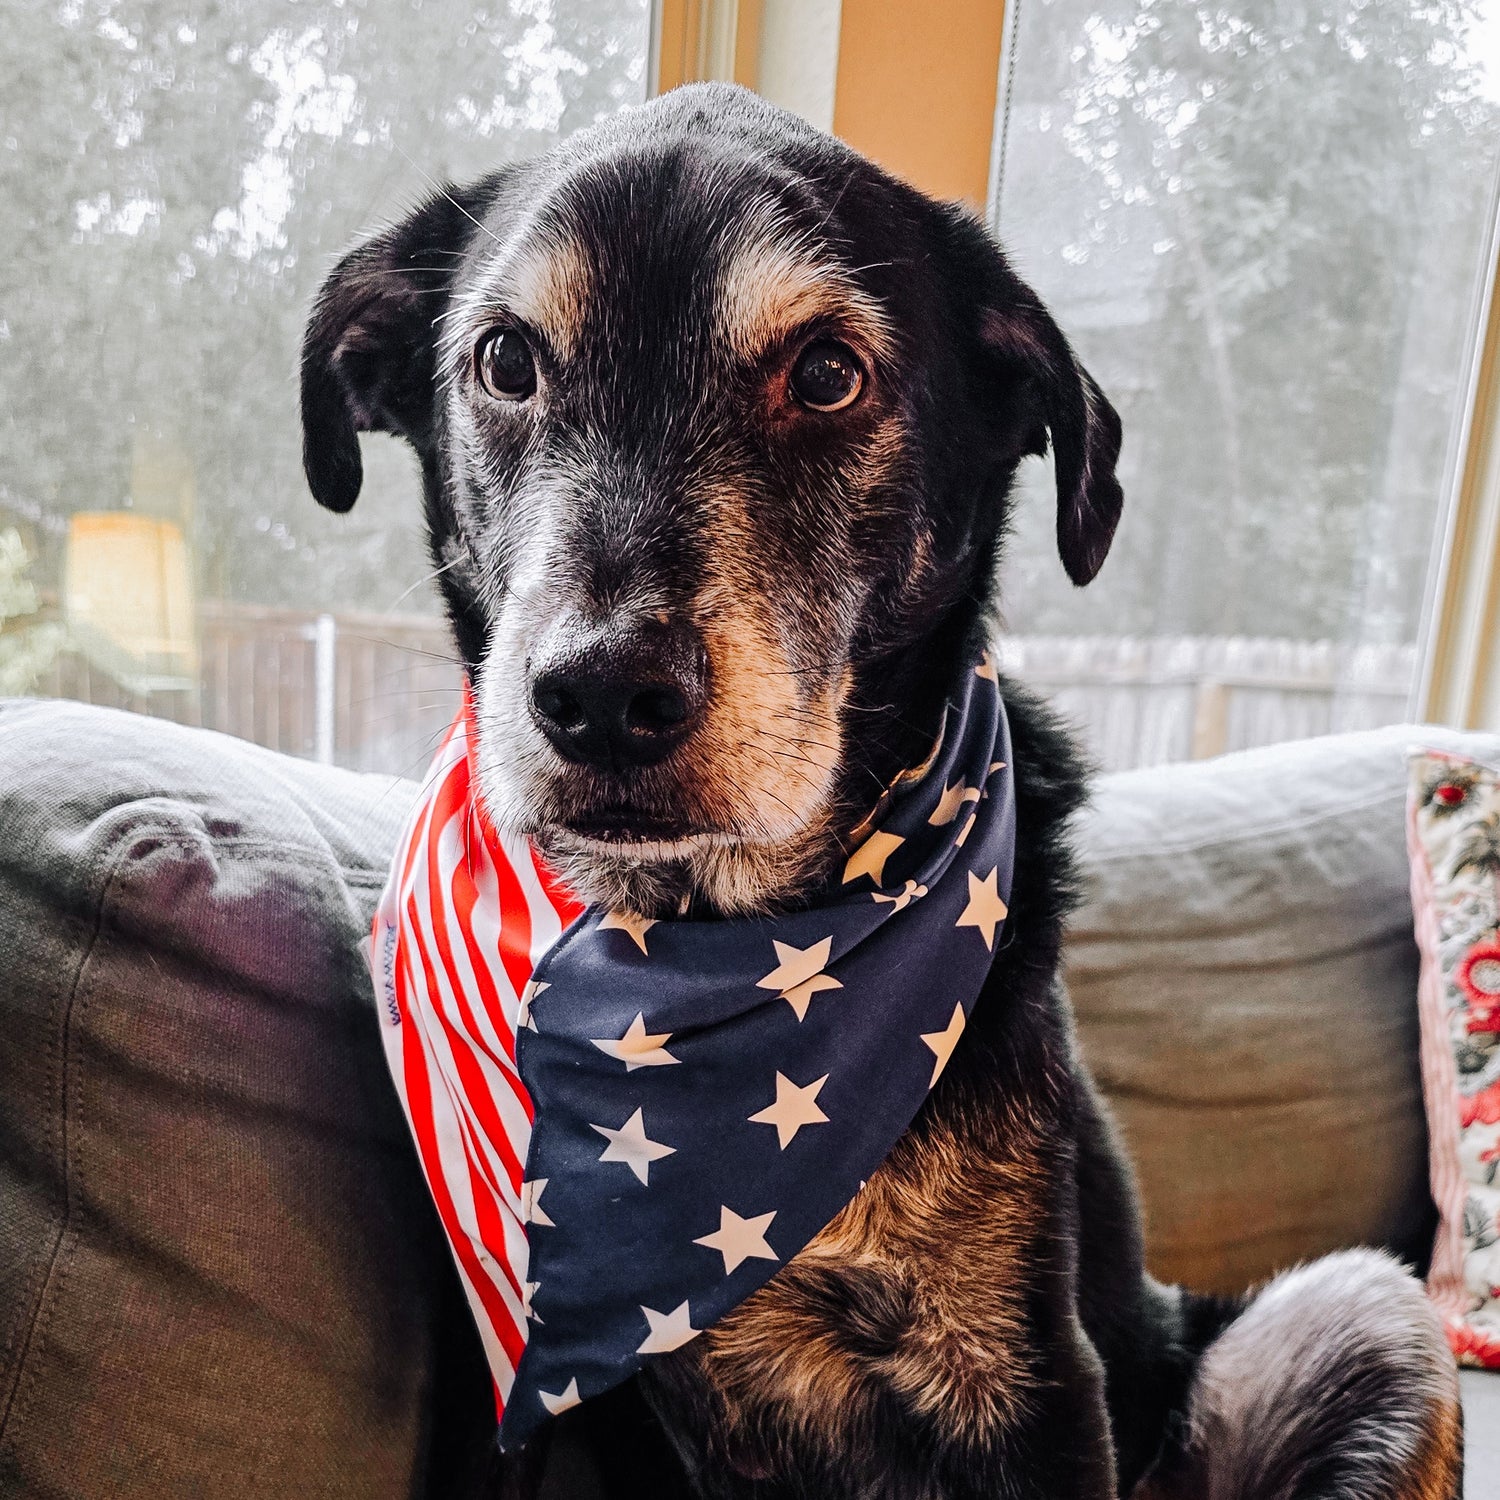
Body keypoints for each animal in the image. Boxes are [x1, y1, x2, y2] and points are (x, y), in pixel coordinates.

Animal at [298, 85, 1458, 1500]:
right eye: (505, 361)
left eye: (827, 374)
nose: (599, 696)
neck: (706, 951)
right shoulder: (512, 1380)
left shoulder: (1037, 1390)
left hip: (1365, 1311)